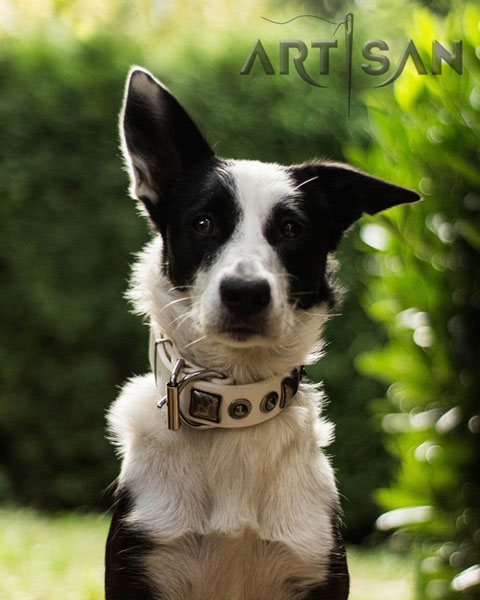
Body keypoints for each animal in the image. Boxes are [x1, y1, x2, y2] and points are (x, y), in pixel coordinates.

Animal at [106, 67, 420, 600]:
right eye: (204, 223)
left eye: (291, 229)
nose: (245, 292)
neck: (236, 407)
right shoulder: (139, 564)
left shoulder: (316, 564)